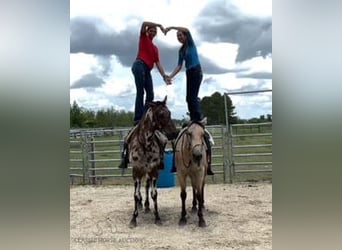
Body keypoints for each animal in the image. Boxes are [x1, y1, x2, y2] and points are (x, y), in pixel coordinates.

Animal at [127, 96, 176, 229]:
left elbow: (154, 193)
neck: (145, 144)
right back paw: (140, 204)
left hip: (148, 172)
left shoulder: (153, 170)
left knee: (147, 186)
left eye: (170, 112)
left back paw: (147, 206)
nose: (174, 133)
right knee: (138, 189)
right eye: (161, 114)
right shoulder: (137, 171)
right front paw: (133, 219)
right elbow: (135, 194)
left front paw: (157, 217)